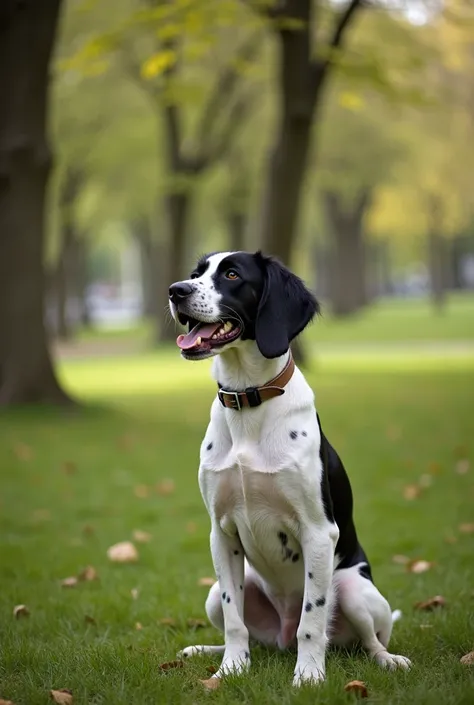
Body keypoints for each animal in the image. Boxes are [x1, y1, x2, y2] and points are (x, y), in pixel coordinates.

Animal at [168, 250, 412, 684]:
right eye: (196, 273)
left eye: (232, 274)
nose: (175, 290)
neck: (248, 400)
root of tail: (280, 637)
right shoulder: (221, 534)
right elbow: (235, 620)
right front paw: (230, 670)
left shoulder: (318, 532)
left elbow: (311, 622)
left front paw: (310, 677)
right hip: (216, 594)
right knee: (249, 631)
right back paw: (207, 651)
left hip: (352, 590)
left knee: (367, 641)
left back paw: (387, 659)